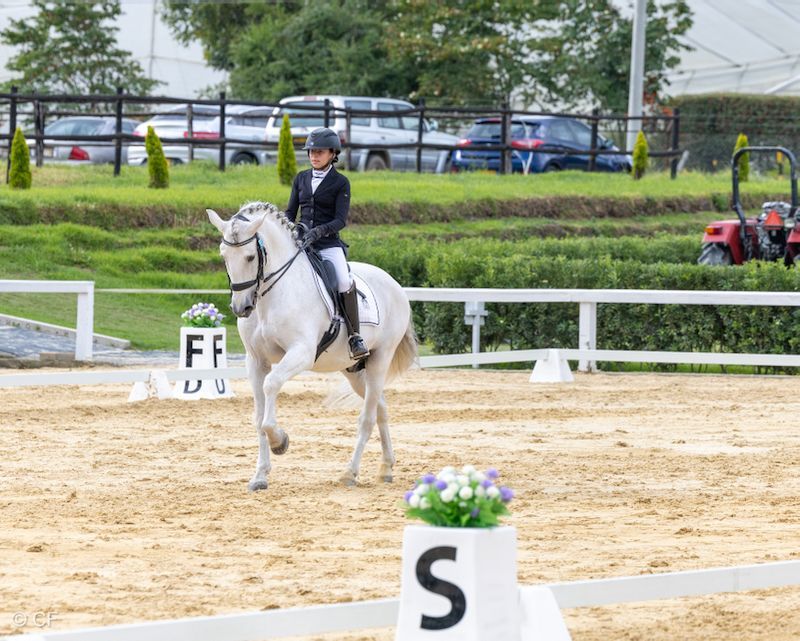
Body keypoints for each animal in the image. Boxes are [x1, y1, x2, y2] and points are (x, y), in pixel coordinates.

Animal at [206, 202, 417, 492]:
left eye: (250, 257)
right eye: (224, 255)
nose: (241, 308)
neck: (271, 297)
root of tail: (394, 283)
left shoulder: (301, 353)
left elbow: (271, 385)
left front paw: (280, 441)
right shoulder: (256, 360)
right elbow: (258, 417)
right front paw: (260, 476)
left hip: (379, 360)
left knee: (367, 417)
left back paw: (350, 473)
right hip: (352, 370)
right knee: (380, 409)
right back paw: (386, 467)